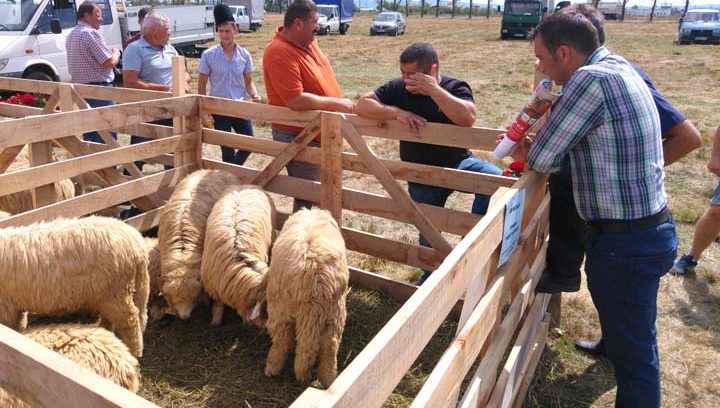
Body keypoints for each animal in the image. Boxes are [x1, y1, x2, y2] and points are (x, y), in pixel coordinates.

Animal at [0, 217, 149, 356]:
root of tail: (137, 242)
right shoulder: (14, 305)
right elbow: (18, 326)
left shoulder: (6, 308)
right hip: (109, 294)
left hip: (117, 292)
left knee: (131, 321)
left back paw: (134, 352)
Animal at [264, 209, 348, 388]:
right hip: (334, 312)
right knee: (330, 344)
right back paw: (328, 379)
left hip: (280, 309)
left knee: (282, 339)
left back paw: (273, 368)